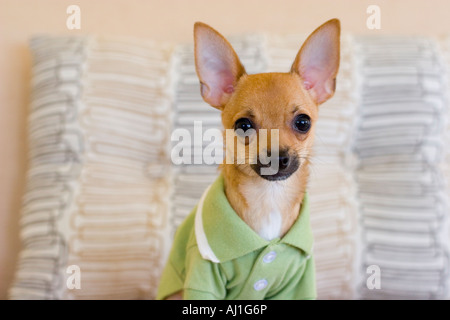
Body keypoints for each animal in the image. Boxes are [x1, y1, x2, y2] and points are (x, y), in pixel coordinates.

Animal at [156, 19, 340, 300]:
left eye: (303, 123)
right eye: (243, 125)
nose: (277, 157)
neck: (269, 198)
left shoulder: (296, 283)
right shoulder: (203, 278)